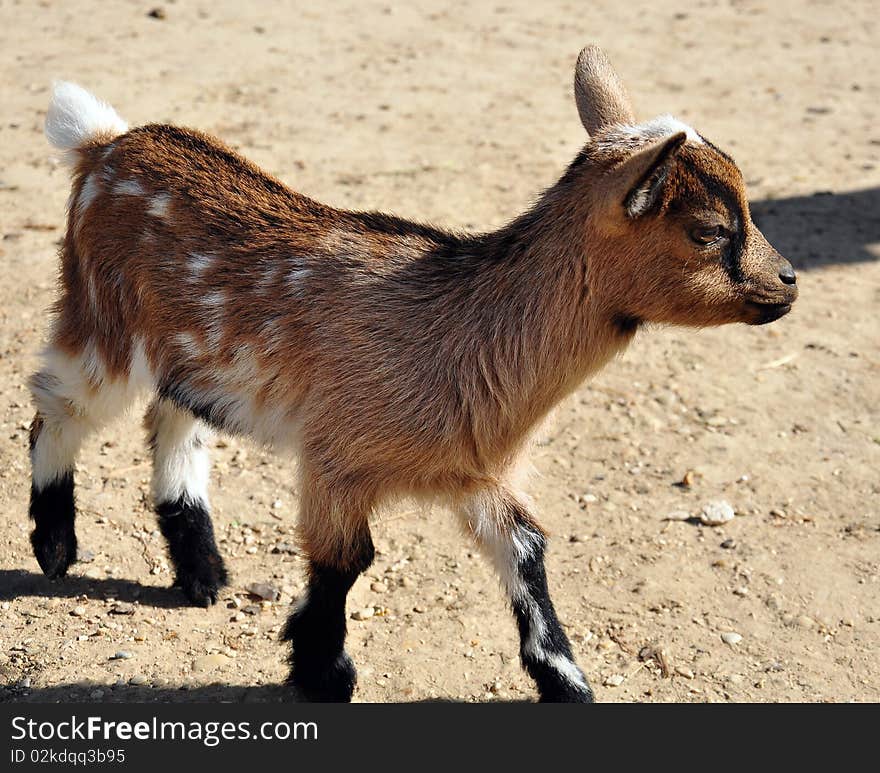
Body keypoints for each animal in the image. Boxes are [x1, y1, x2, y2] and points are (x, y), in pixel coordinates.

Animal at [29, 45, 796, 704]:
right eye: (708, 231)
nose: (788, 280)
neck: (460, 334)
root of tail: (106, 144)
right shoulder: (335, 461)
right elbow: (345, 562)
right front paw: (322, 673)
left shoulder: (478, 473)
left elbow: (527, 550)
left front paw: (566, 683)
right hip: (104, 326)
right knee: (55, 408)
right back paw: (55, 546)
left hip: (189, 355)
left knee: (174, 417)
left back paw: (202, 573)